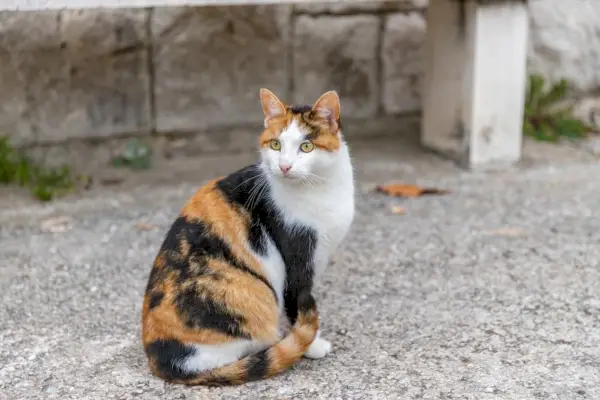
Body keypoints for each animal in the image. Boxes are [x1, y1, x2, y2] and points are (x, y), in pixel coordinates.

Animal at [141, 89, 356, 386]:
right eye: (275, 145)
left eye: (306, 147)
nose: (285, 166)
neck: (319, 189)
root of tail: (164, 361)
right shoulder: (296, 259)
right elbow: (297, 303)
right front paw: (312, 345)